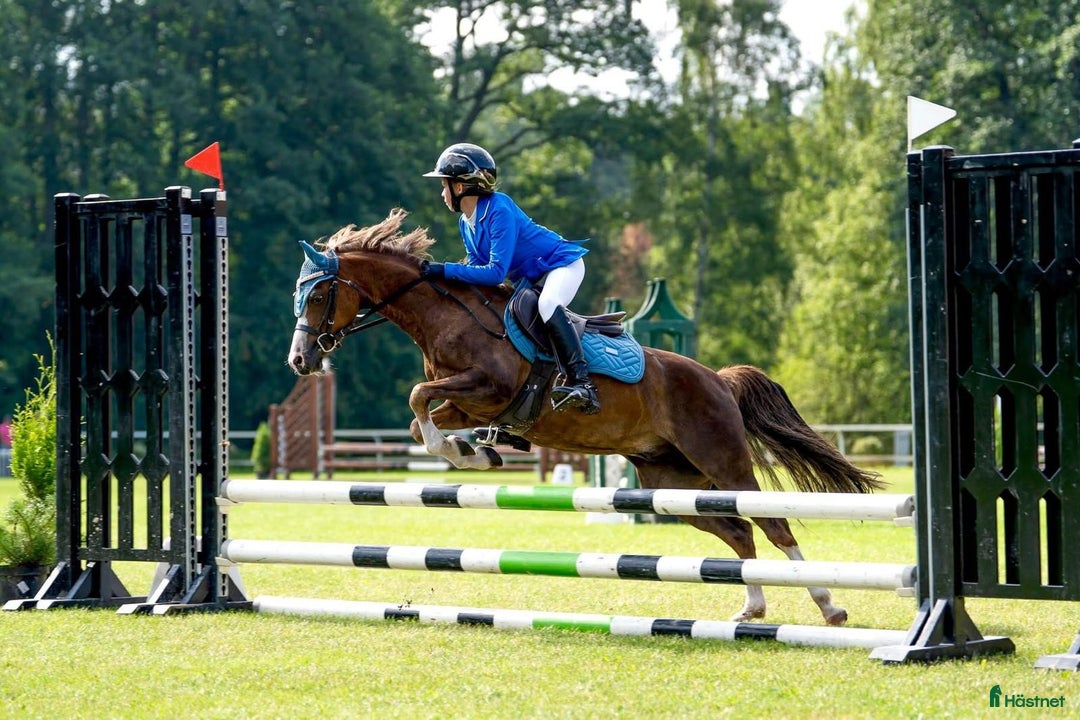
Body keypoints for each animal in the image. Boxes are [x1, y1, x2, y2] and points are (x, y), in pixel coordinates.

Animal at [287, 209, 884, 626]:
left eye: (317, 296)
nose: (301, 361)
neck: (445, 318)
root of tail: (717, 379)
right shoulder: (468, 400)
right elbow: (420, 417)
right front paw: (470, 451)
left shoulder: (489, 388)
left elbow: (416, 397)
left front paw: (466, 450)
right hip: (671, 480)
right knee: (737, 531)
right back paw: (752, 609)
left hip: (723, 459)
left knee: (771, 522)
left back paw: (829, 606)